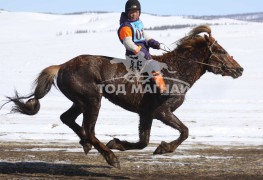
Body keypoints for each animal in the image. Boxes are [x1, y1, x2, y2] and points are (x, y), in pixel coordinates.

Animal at [4, 25, 243, 169]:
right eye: (221, 51)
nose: (239, 69)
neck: (176, 71)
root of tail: (62, 66)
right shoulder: (161, 111)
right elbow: (184, 131)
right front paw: (163, 148)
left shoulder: (146, 114)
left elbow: (144, 141)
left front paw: (118, 143)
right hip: (92, 100)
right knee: (89, 129)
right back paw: (110, 157)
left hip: (81, 101)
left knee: (68, 118)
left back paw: (88, 144)